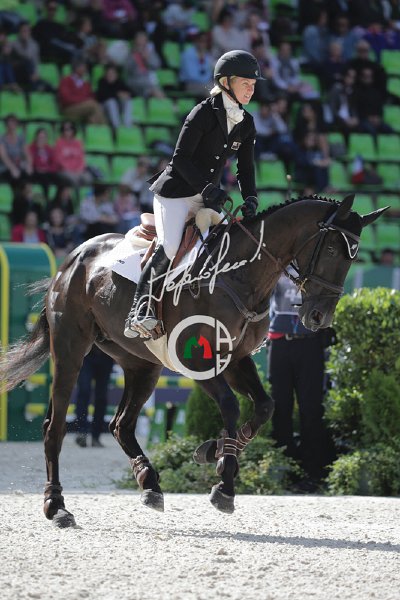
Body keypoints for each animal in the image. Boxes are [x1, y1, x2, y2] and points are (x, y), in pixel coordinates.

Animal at [0, 193, 385, 526]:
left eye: (353, 258)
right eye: (332, 248)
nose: (319, 317)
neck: (240, 275)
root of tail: (73, 257)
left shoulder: (236, 359)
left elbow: (265, 406)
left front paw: (212, 452)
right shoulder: (198, 363)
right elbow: (231, 406)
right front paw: (224, 482)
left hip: (142, 365)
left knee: (121, 424)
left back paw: (149, 483)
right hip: (70, 351)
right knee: (55, 427)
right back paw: (57, 507)